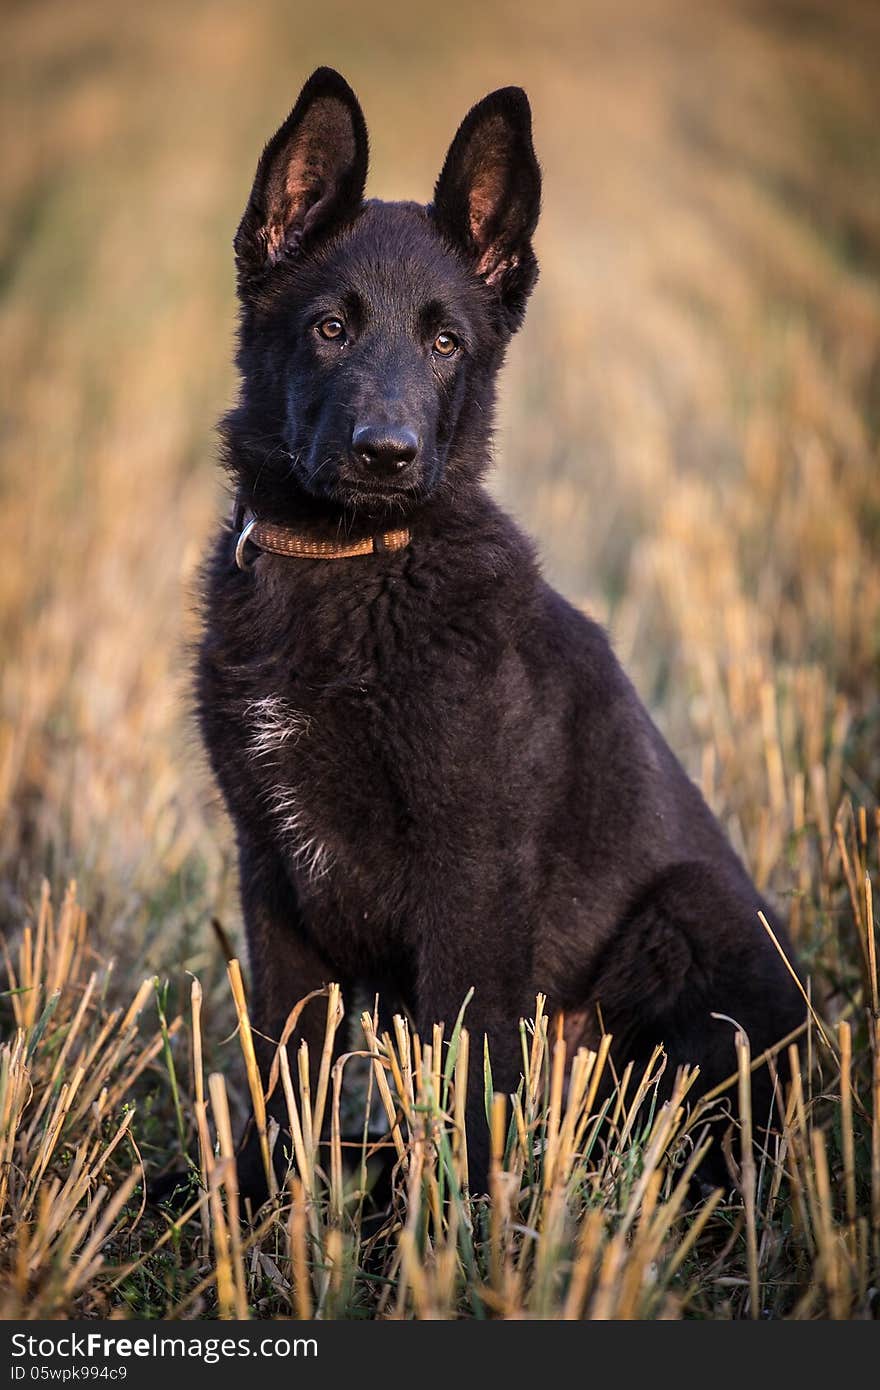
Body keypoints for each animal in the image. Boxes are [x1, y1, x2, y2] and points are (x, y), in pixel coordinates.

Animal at [197, 62, 800, 1195]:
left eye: (446, 344)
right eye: (329, 328)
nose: (386, 453)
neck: (352, 564)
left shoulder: (473, 877)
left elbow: (473, 1077)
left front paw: (470, 1219)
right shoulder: (274, 875)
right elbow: (283, 1068)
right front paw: (265, 1204)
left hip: (684, 918)